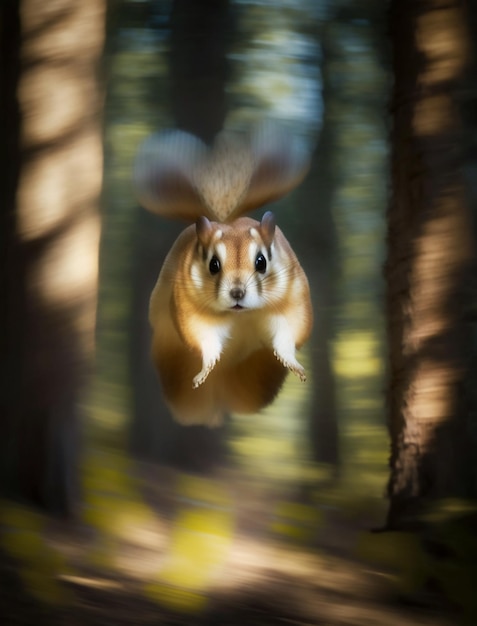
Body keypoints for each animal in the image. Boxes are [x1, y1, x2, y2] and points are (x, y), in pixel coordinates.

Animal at [134, 120, 312, 426]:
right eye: (213, 265)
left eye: (262, 261)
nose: (237, 293)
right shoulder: (190, 311)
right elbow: (204, 341)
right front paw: (205, 369)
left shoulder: (293, 303)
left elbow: (288, 337)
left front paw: (294, 364)